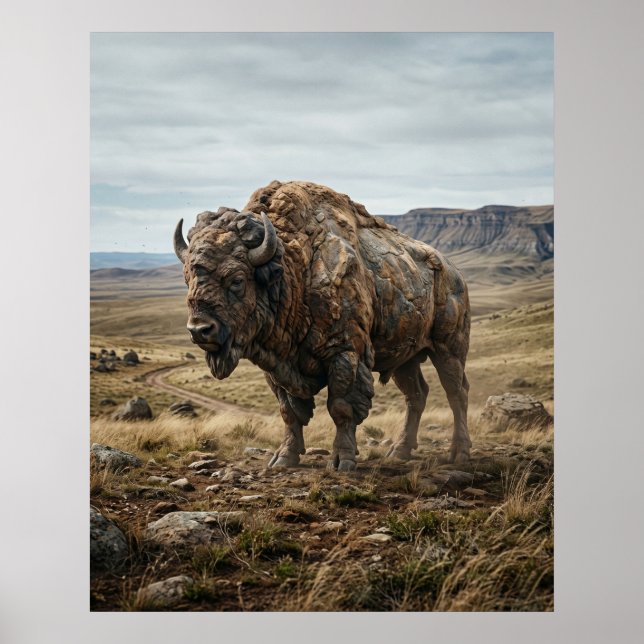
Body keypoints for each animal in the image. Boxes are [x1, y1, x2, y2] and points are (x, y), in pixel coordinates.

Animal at [174, 181, 471, 471]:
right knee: (416, 395)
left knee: (456, 393)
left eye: (236, 279)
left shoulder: (345, 356)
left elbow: (341, 408)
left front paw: (342, 460)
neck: (294, 267)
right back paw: (399, 452)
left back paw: (458, 452)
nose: (200, 330)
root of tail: (454, 273)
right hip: (404, 359)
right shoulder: (275, 367)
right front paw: (284, 458)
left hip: (448, 350)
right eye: (187, 278)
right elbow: (289, 412)